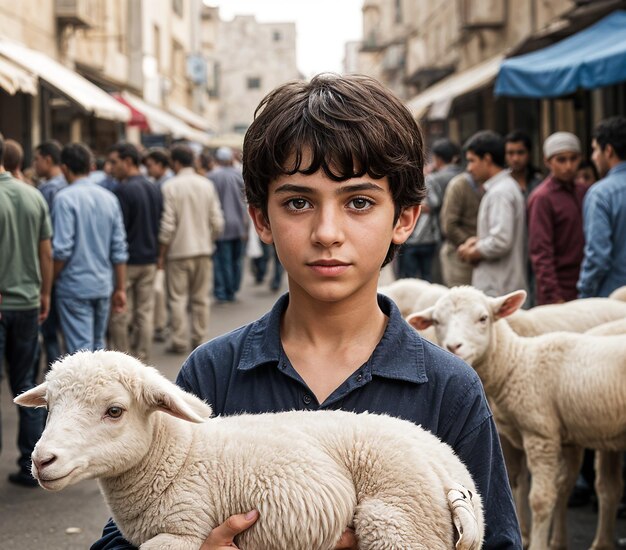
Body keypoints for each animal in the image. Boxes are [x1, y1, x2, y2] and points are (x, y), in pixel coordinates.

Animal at [14, 352, 482, 550]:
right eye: (50, 406)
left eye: (114, 411)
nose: (41, 461)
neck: (175, 457)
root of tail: (454, 474)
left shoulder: (185, 530)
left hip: (399, 523)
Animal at [404, 288, 624, 550]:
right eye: (436, 321)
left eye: (483, 318)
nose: (453, 346)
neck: (517, 362)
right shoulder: (521, 436)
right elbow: (520, 482)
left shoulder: (541, 435)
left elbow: (540, 499)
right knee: (606, 487)